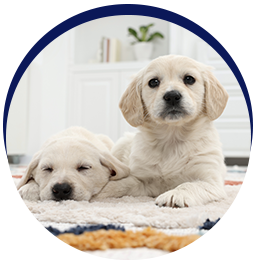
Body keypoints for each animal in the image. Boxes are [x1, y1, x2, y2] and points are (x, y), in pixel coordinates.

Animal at [95, 54, 229, 208]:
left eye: (189, 79)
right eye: (153, 82)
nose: (172, 96)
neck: (172, 137)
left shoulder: (210, 180)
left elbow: (189, 184)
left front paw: (175, 194)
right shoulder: (142, 179)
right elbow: (124, 183)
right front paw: (100, 191)